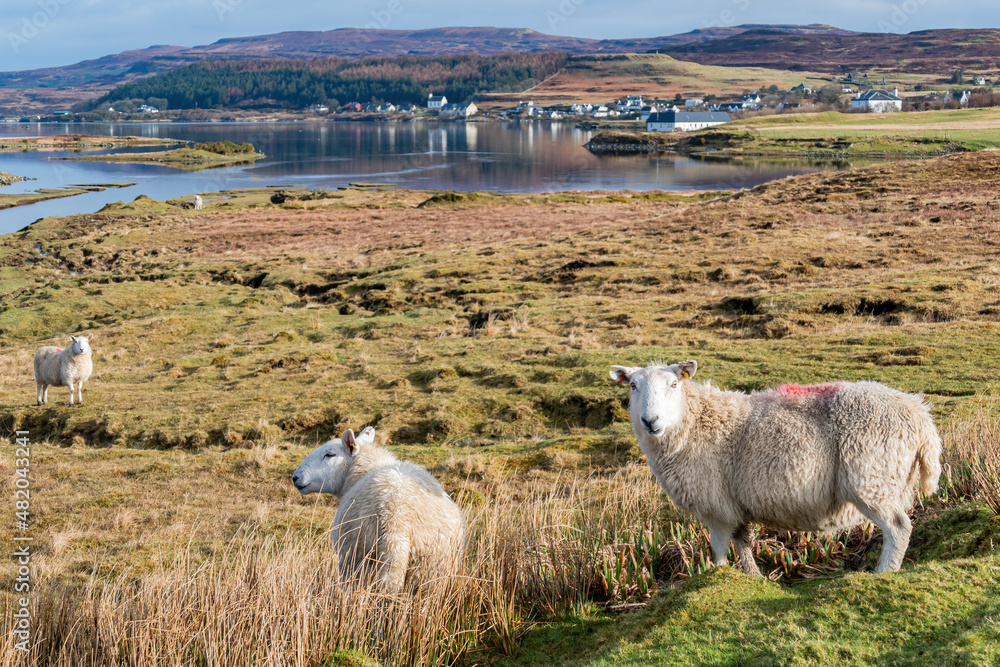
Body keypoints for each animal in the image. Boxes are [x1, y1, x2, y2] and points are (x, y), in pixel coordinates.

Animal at [610, 360, 941, 575]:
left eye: (674, 384)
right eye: (633, 386)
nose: (650, 421)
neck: (694, 421)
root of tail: (919, 414)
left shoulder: (716, 507)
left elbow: (719, 551)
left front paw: (718, 577)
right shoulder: (733, 504)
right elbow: (743, 543)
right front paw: (752, 577)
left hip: (872, 479)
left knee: (899, 528)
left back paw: (884, 572)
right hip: (890, 480)